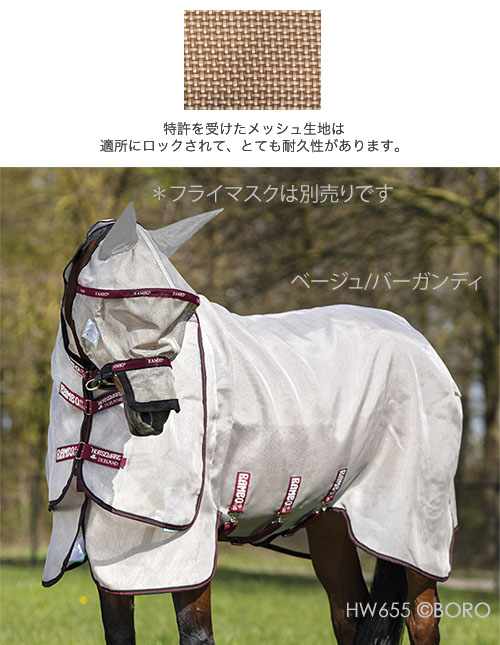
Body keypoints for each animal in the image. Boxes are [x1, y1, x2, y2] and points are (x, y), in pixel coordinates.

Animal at [43, 204, 462, 644]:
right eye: (118, 308)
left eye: (181, 313)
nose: (155, 411)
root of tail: (420, 343)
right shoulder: (111, 557)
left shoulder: (187, 544)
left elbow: (196, 633)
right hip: (330, 523)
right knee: (348, 614)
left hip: (412, 529)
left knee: (421, 619)